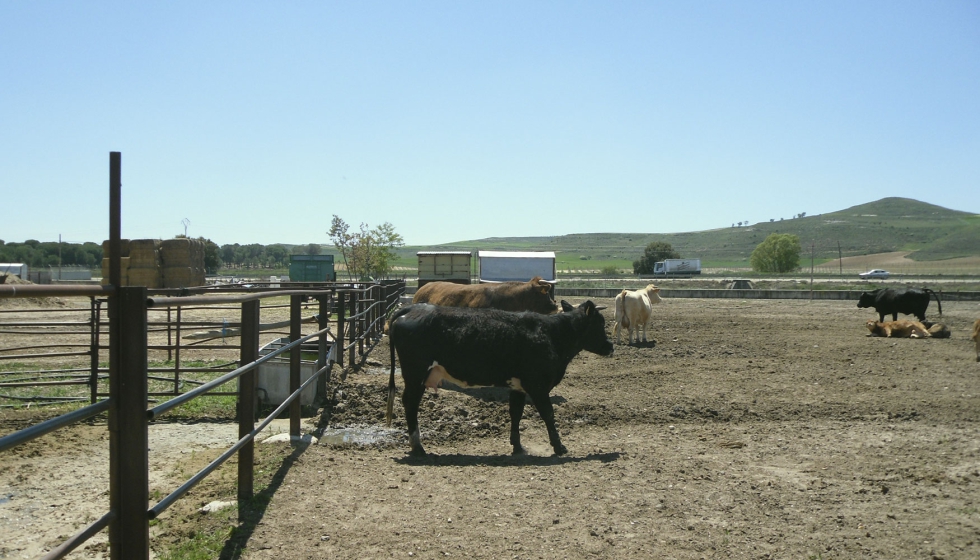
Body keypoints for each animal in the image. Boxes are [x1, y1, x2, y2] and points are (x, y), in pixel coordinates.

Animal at [384, 300, 608, 458]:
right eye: (600, 323)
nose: (611, 346)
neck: (551, 333)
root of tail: (412, 308)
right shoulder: (538, 386)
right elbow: (548, 414)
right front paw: (559, 447)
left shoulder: (518, 386)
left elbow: (516, 413)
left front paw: (517, 446)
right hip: (415, 375)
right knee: (410, 403)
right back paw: (418, 446)